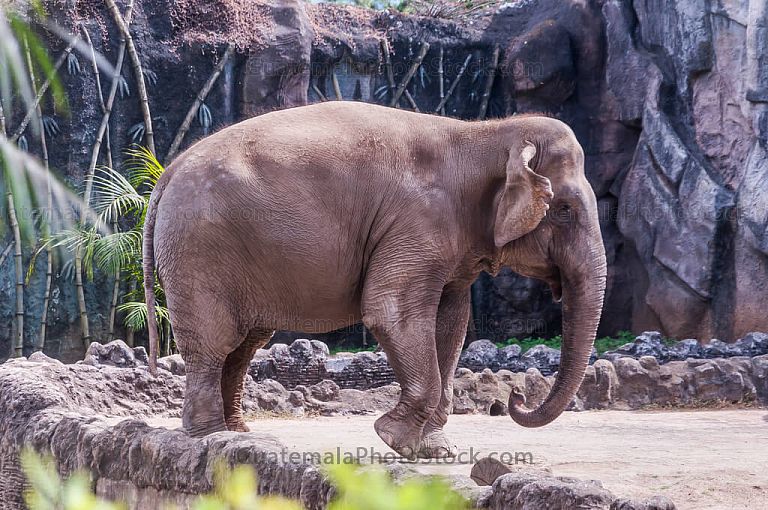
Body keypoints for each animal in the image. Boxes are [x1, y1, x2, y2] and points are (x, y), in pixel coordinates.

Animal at [142, 101, 606, 459]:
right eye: (563, 210)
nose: (514, 397)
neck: (485, 133)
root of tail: (167, 174)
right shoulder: (416, 223)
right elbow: (390, 311)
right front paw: (395, 440)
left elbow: (451, 325)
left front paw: (436, 451)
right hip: (197, 249)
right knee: (215, 341)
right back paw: (209, 438)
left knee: (244, 343)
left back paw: (237, 435)